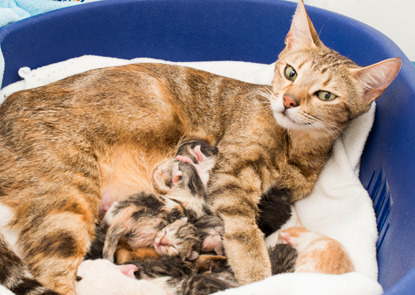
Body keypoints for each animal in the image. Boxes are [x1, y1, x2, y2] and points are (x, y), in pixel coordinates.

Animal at [0, 0, 402, 294]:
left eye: (325, 95)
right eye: (290, 72)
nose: (288, 101)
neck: (298, 148)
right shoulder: (230, 177)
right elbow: (245, 237)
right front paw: (257, 279)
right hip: (65, 204)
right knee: (54, 278)